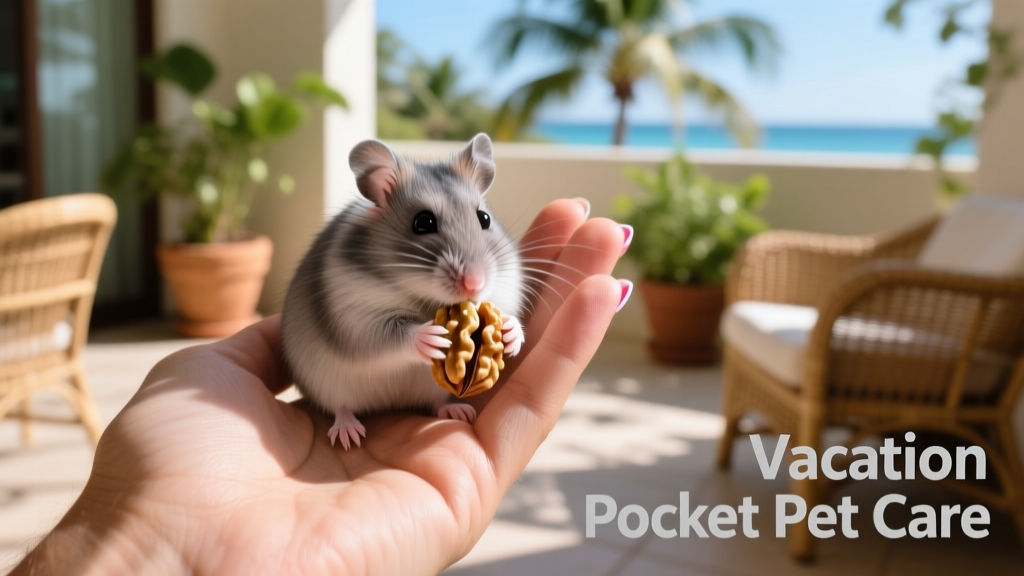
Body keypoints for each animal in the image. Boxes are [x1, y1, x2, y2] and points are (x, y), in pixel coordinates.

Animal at [281, 134, 526, 449]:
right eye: (423, 222)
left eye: (484, 218)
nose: (475, 283)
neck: (426, 298)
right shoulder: (357, 318)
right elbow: (391, 337)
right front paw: (435, 338)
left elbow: (508, 315)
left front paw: (510, 334)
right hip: (327, 385)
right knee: (341, 407)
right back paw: (349, 435)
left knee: (436, 404)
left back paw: (459, 411)